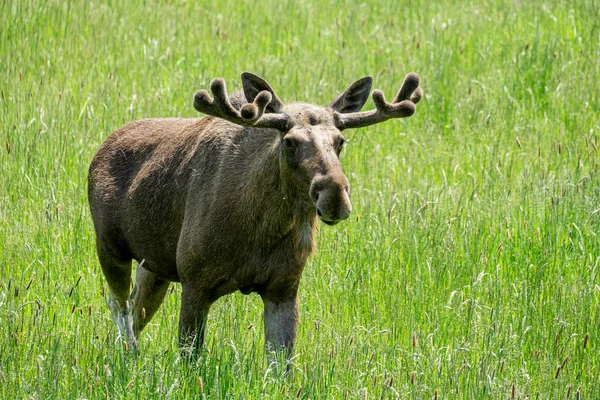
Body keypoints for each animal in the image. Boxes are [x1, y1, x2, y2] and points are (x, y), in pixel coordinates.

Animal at [89, 71, 424, 360]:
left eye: (340, 141)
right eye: (289, 141)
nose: (335, 197)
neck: (259, 231)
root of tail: (100, 150)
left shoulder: (284, 288)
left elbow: (281, 368)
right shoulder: (195, 281)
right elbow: (189, 360)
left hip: (155, 266)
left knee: (136, 308)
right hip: (110, 247)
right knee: (119, 305)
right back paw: (128, 357)